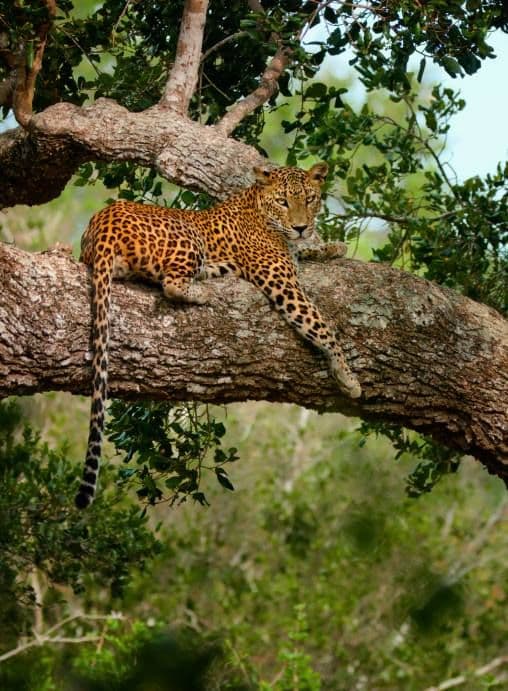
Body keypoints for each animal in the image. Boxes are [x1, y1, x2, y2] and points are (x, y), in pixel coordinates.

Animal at [76, 162, 361, 509]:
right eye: (283, 202)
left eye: (310, 199)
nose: (302, 227)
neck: (259, 206)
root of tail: (103, 222)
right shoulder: (282, 283)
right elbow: (321, 326)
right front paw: (348, 377)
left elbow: (306, 253)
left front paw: (331, 246)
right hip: (189, 240)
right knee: (171, 284)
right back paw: (203, 292)